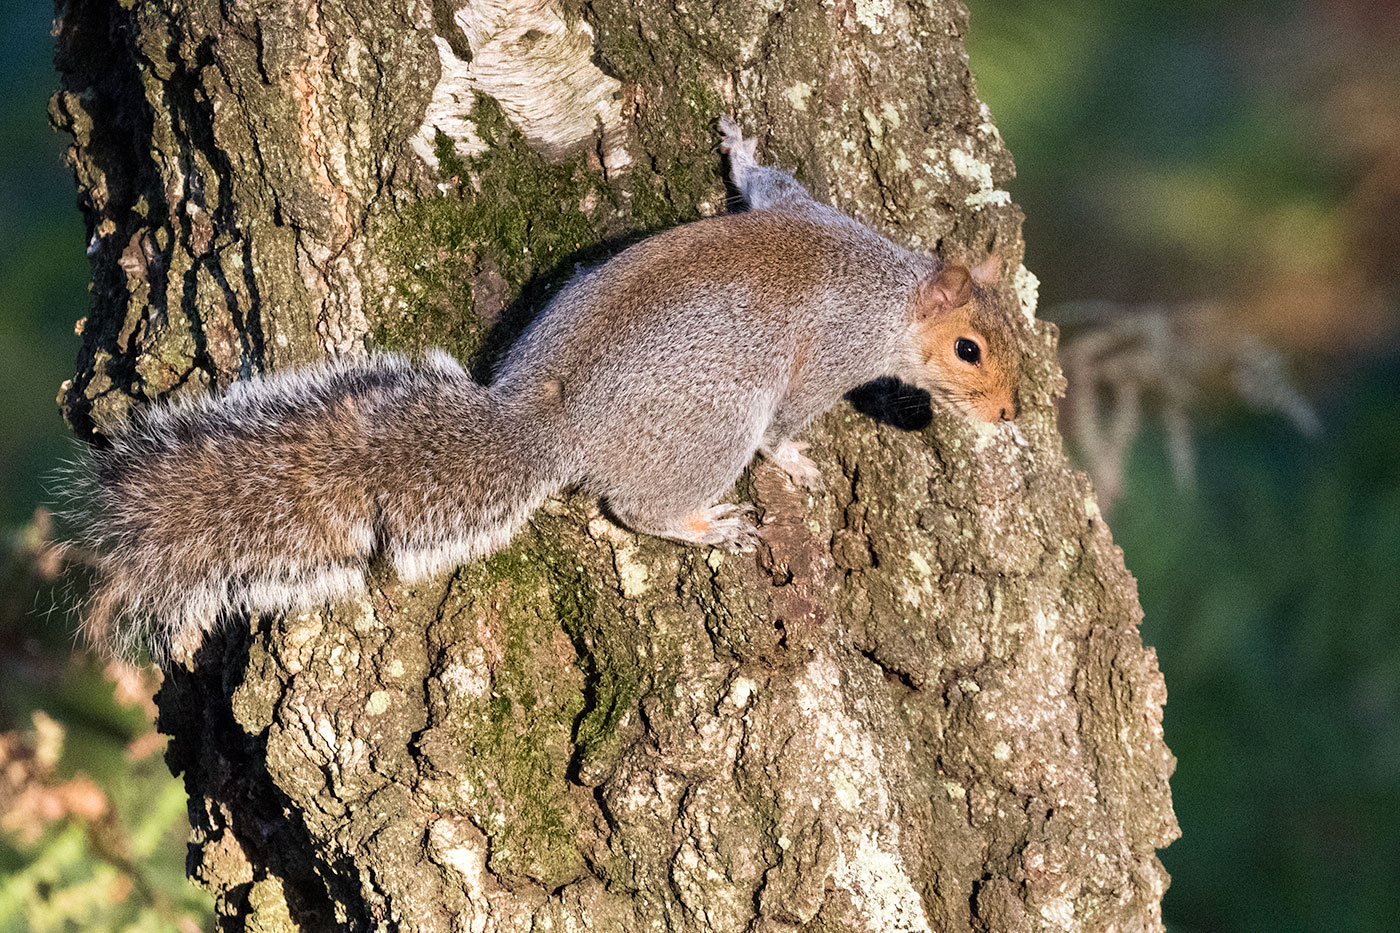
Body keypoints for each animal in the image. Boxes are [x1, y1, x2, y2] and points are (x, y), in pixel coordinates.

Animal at [60, 118, 1024, 661]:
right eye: (970, 350)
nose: (1012, 412)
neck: (885, 287)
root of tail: (548, 425)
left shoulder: (803, 208)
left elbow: (767, 185)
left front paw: (742, 146)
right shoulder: (826, 357)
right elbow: (789, 424)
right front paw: (798, 459)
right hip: (710, 429)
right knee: (638, 507)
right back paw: (708, 523)